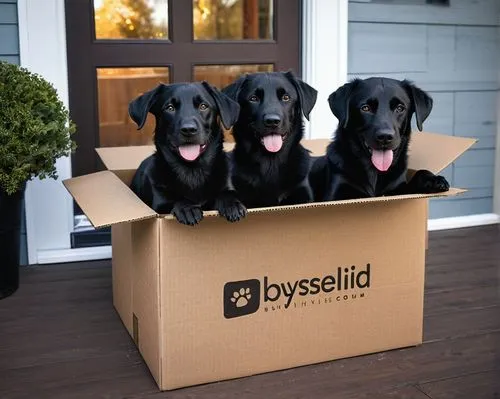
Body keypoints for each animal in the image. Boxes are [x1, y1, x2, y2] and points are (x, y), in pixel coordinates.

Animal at [128, 81, 247, 227]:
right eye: (170, 108)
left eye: (203, 106)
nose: (188, 129)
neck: (193, 171)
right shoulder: (159, 206)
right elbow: (175, 200)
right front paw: (187, 208)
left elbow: (226, 193)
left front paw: (232, 204)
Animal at [308, 77, 450, 203]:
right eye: (365, 108)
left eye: (400, 108)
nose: (385, 137)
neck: (374, 172)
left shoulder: (398, 188)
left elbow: (420, 173)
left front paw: (433, 179)